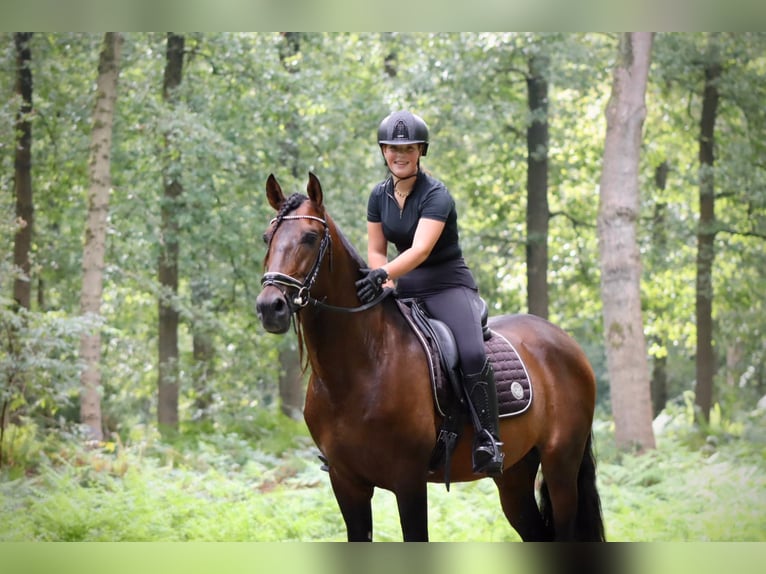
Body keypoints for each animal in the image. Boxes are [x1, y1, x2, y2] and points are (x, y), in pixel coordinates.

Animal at [255, 173, 605, 542]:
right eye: (267, 237)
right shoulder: (346, 482)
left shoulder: (408, 480)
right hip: (515, 473)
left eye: (310, 237)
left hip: (561, 466)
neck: (360, 367)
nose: (270, 307)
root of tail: (565, 341)